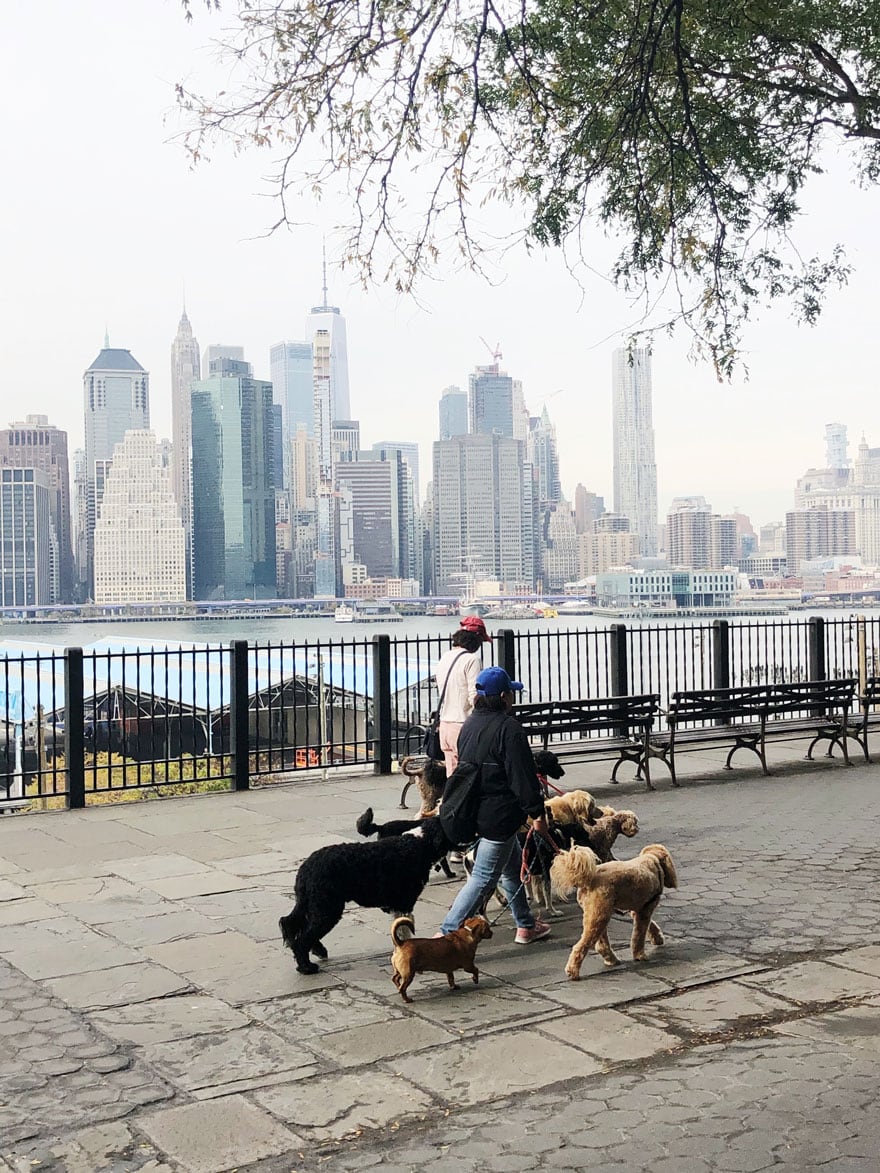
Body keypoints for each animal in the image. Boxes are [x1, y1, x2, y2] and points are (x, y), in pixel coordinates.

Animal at [279, 816, 450, 971]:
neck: (419, 844)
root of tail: (306, 868)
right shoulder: (404, 903)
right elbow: (403, 930)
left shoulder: (397, 906)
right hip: (327, 907)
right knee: (303, 938)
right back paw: (306, 967)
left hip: (313, 903)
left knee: (291, 923)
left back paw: (317, 951)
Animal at [551, 844, 680, 980]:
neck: (652, 859)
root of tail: (589, 879)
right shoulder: (645, 911)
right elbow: (639, 935)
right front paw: (639, 955)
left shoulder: (638, 910)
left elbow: (651, 924)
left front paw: (657, 938)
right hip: (599, 916)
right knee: (580, 946)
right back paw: (573, 971)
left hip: (598, 914)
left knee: (601, 945)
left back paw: (611, 959)